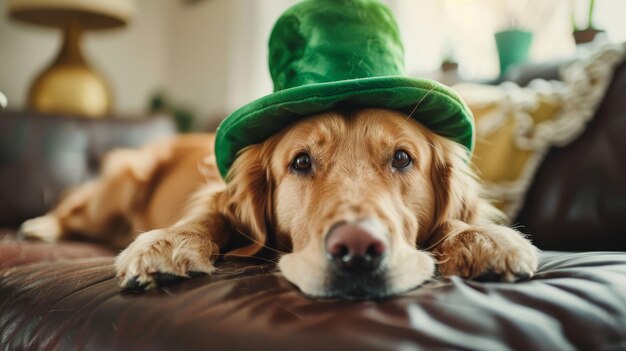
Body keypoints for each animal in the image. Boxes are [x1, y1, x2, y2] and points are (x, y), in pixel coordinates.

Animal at [19, 109, 536, 300]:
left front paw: (485, 239)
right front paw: (163, 246)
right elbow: (206, 216)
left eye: (403, 158)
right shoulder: (217, 198)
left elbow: (456, 222)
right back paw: (39, 226)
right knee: (73, 208)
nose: (357, 249)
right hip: (124, 182)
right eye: (301, 161)